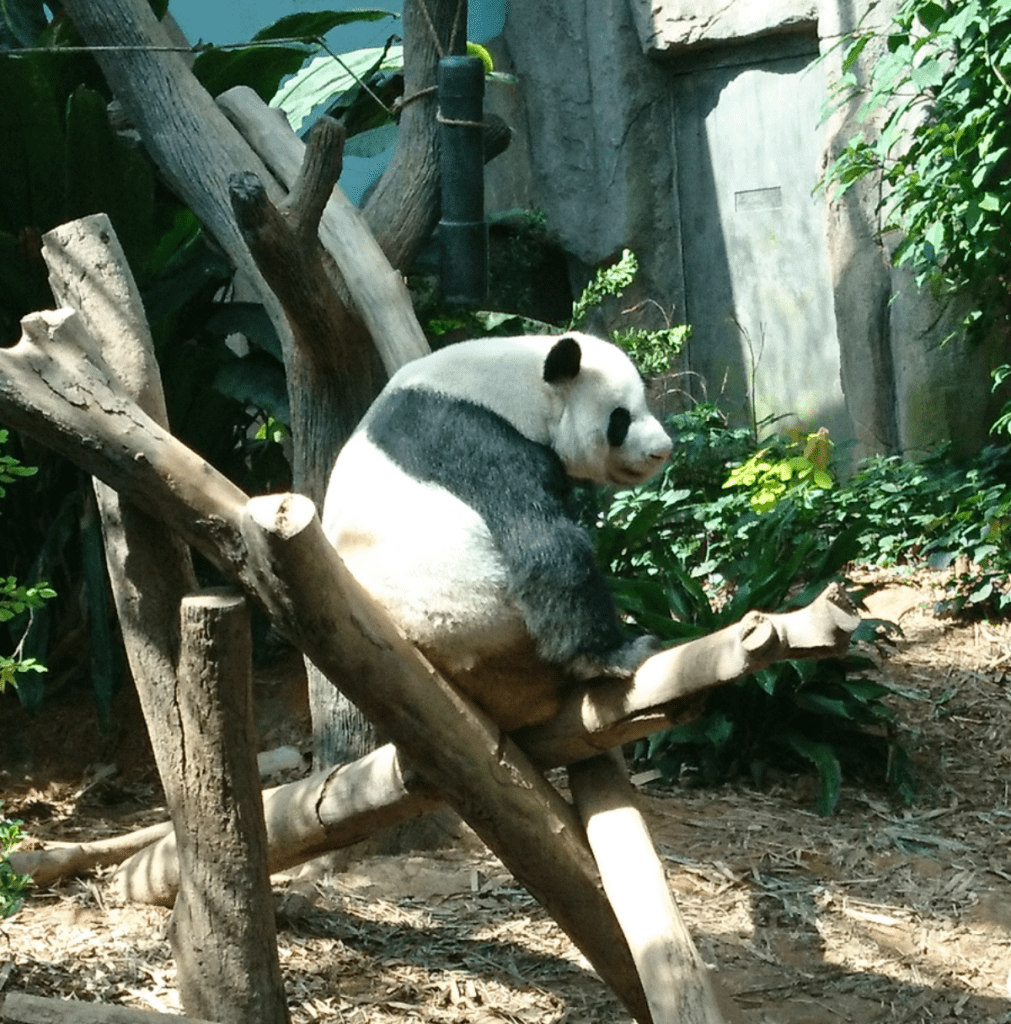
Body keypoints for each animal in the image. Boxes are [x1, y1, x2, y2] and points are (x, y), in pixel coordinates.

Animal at [322, 331, 673, 730]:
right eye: (620, 419)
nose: (661, 450)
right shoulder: (474, 437)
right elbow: (543, 542)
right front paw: (613, 655)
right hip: (495, 635)